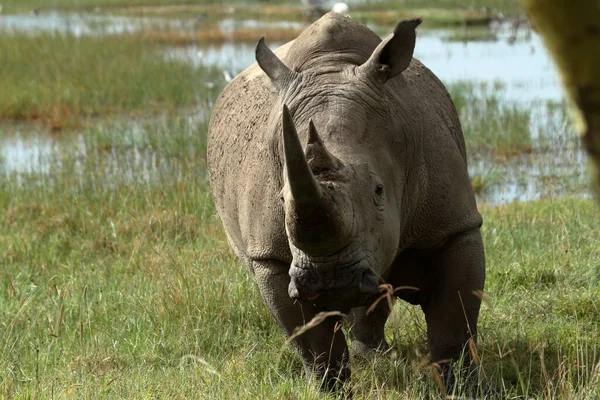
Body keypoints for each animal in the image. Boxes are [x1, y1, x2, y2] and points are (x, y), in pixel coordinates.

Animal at [209, 12, 486, 394]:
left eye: (379, 190)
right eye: (282, 200)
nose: (331, 280)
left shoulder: (453, 226)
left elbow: (454, 323)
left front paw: (462, 388)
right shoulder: (271, 257)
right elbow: (313, 342)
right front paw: (330, 390)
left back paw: (376, 356)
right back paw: (372, 357)